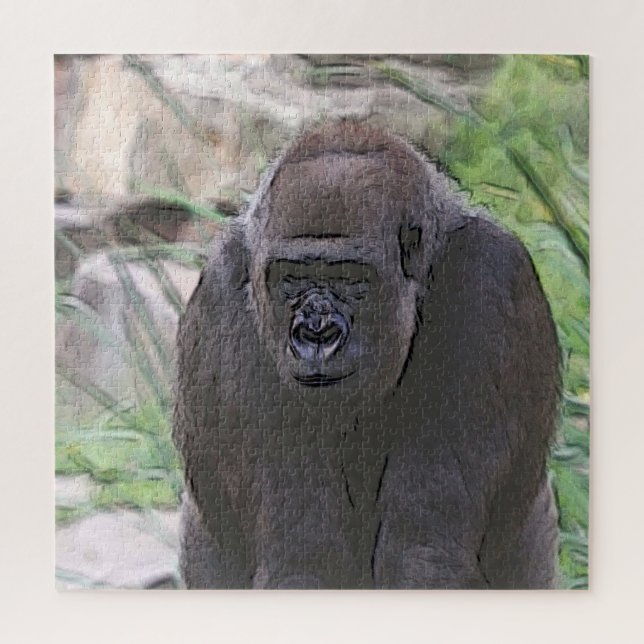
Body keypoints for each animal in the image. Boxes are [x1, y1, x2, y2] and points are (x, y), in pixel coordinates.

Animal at [173, 120, 561, 589]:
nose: (316, 333)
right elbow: (304, 558)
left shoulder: (490, 281)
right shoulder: (222, 296)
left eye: (351, 277)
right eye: (291, 277)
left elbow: (422, 549)